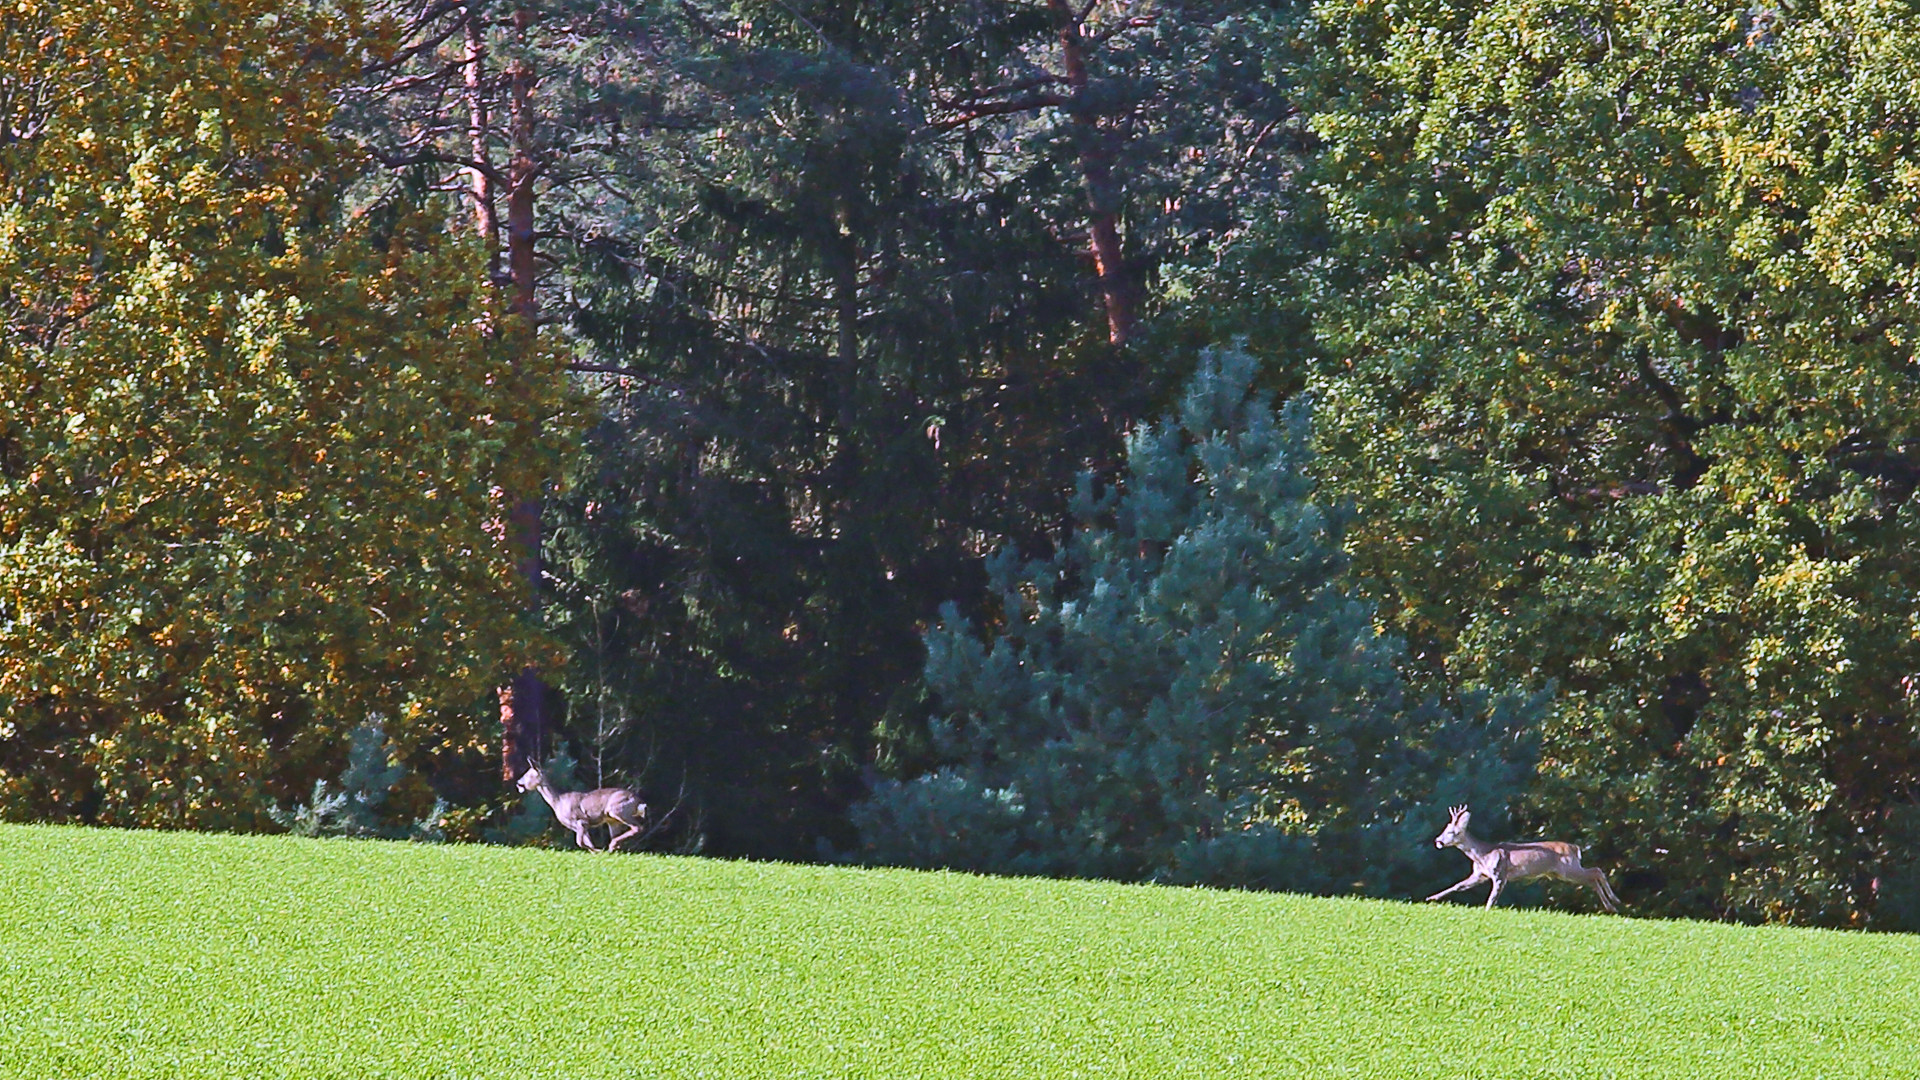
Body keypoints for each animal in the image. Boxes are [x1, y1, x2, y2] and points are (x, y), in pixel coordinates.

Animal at [514, 764, 648, 849]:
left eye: (528, 775)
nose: (518, 782)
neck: (558, 802)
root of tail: (640, 802)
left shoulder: (581, 820)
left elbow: (580, 843)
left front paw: (599, 851)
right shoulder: (578, 826)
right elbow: (587, 843)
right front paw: (598, 853)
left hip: (617, 809)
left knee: (638, 827)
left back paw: (612, 845)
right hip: (612, 820)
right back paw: (612, 847)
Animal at [1428, 799, 1620, 907]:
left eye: (1452, 832)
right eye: (1445, 829)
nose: (1438, 840)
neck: (1482, 855)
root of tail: (1575, 848)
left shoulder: (1499, 873)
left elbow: (1491, 899)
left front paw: (1486, 911)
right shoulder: (1479, 875)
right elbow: (1457, 886)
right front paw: (1432, 897)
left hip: (1567, 869)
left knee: (1596, 871)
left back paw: (1614, 900)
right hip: (1562, 873)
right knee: (1592, 878)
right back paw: (1610, 906)